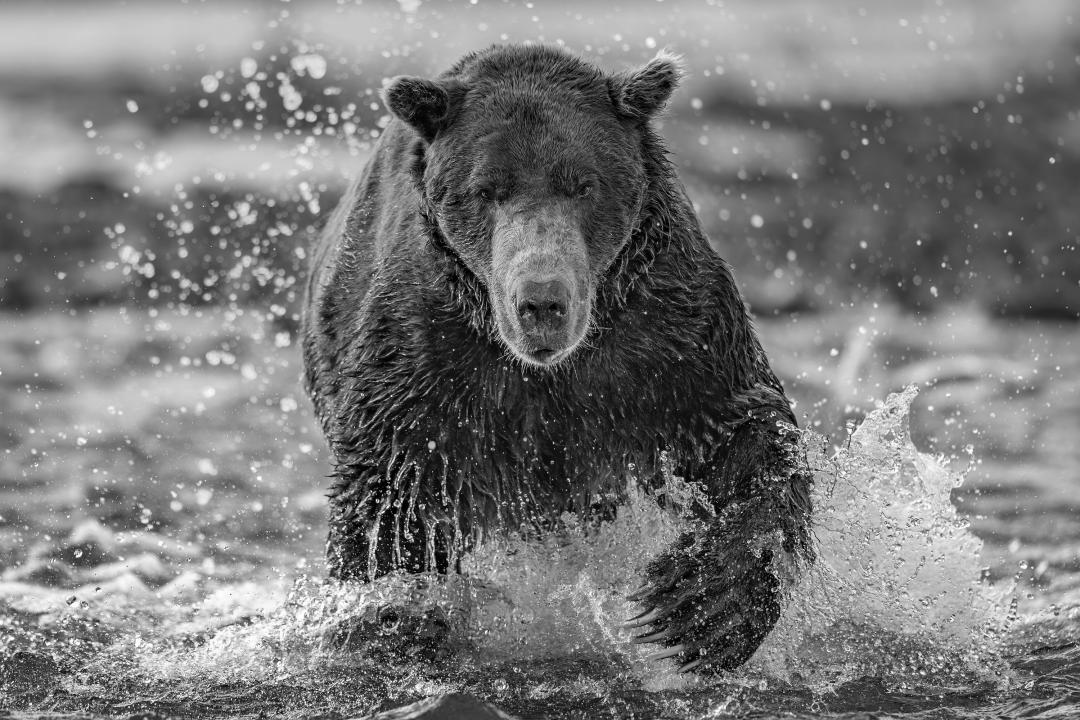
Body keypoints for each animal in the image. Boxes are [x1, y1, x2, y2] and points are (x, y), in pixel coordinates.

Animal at [300, 44, 814, 674]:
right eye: (487, 189)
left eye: (582, 185)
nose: (541, 300)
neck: (548, 371)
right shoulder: (425, 362)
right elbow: (393, 500)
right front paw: (397, 616)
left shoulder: (671, 341)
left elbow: (749, 434)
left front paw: (698, 605)